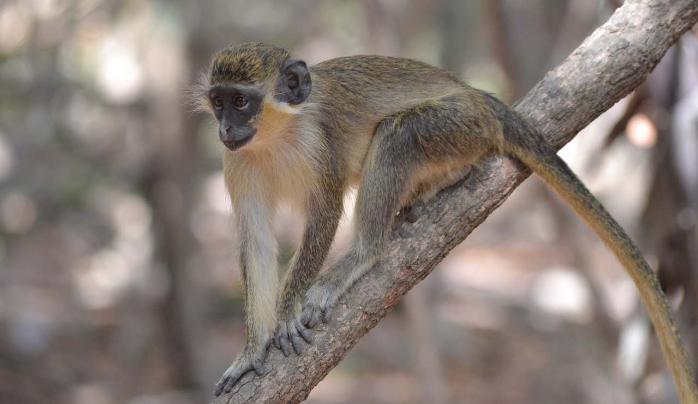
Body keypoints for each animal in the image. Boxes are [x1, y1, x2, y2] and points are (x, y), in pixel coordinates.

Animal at [195, 42, 698, 402]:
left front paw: (287, 311)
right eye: (219, 102)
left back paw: (363, 254)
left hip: (458, 126)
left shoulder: (320, 146)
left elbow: (324, 214)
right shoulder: (235, 164)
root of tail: (482, 100)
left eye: (242, 101)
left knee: (397, 135)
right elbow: (257, 242)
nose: (226, 129)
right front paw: (251, 350)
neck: (275, 137)